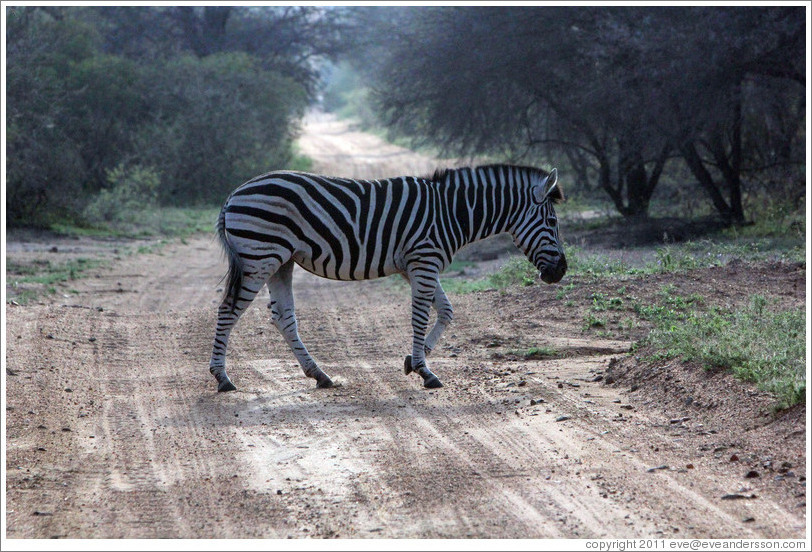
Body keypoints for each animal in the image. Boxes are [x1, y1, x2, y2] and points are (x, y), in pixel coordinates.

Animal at [209, 164, 566, 392]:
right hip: (259, 257)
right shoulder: (424, 260)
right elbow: (421, 316)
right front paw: (424, 370)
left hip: (280, 262)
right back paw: (222, 378)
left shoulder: (416, 265)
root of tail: (233, 195)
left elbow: (446, 311)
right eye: (552, 222)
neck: (452, 213)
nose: (560, 271)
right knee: (228, 310)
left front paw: (413, 360)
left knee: (283, 316)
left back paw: (319, 375)